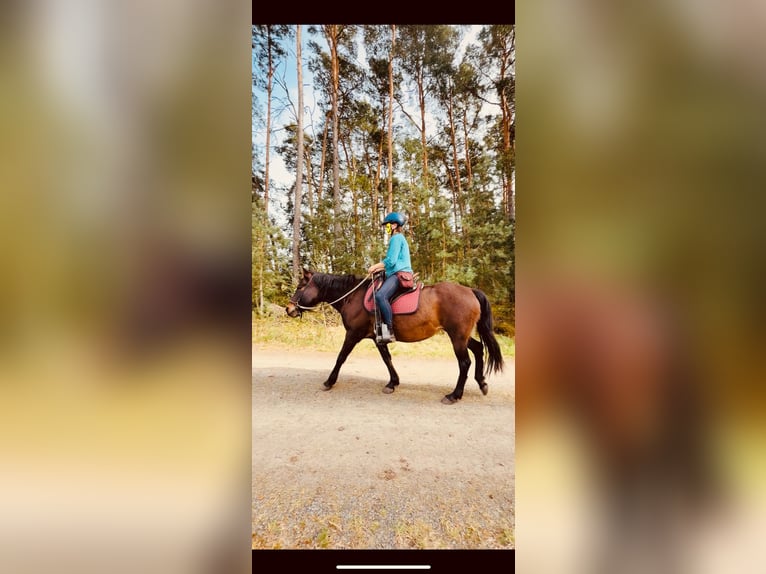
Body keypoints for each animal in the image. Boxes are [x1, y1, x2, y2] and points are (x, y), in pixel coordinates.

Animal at [285, 269, 504, 404]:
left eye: (300, 287)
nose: (289, 309)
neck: (352, 297)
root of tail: (470, 291)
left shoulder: (353, 334)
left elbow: (341, 357)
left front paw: (329, 382)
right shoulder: (378, 337)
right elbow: (387, 359)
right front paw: (393, 383)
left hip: (457, 337)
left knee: (464, 362)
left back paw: (454, 395)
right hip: (462, 336)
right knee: (478, 349)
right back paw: (482, 383)